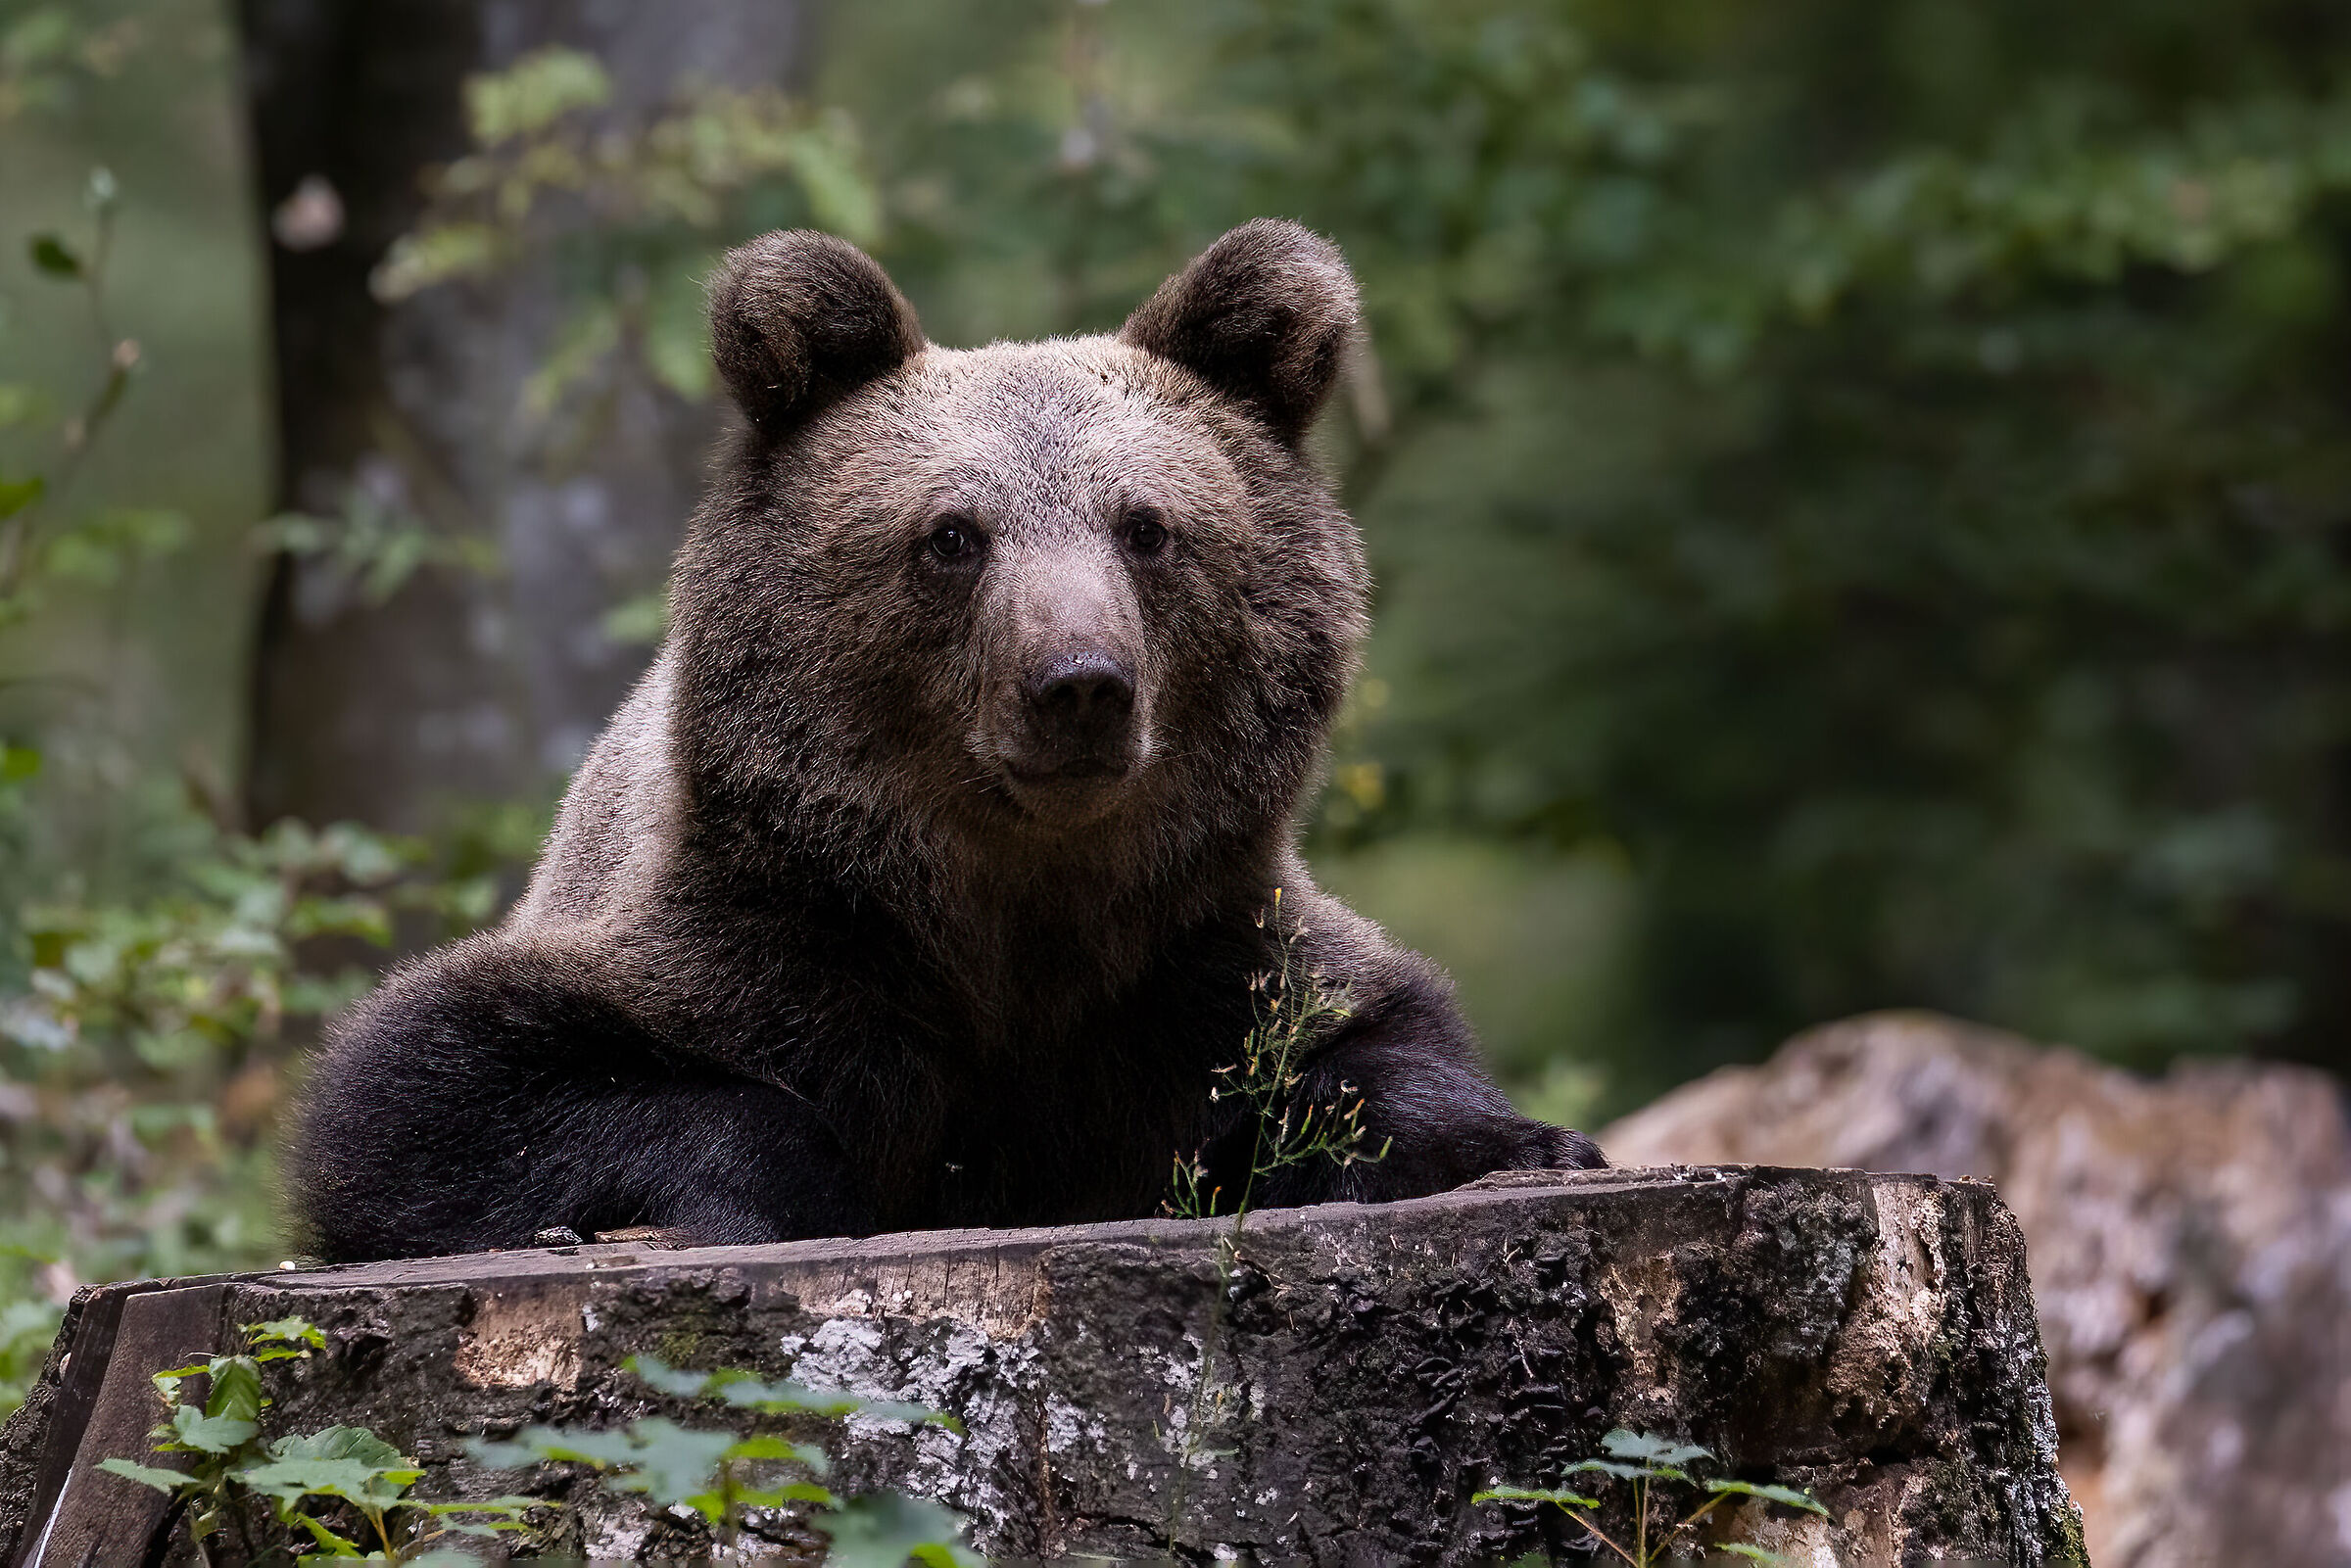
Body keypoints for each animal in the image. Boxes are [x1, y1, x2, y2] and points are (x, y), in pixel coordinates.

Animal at [287, 219, 1605, 1263]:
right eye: (953, 534)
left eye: (1146, 526)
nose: (1080, 684)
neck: (1008, 911)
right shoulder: (772, 942)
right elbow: (425, 1090)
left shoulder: (1193, 962)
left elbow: (1368, 1052)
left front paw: (1531, 1139)